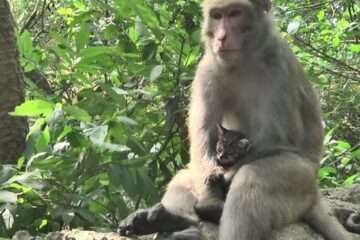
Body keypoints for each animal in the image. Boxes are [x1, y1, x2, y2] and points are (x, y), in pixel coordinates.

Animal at [118, 0, 354, 239]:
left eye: (234, 14)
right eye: (217, 16)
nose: (221, 37)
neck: (244, 59)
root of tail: (315, 192)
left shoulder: (278, 66)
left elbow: (278, 139)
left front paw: (226, 177)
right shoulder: (208, 68)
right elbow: (204, 136)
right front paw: (209, 196)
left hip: (300, 182)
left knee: (251, 180)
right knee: (186, 176)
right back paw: (176, 222)